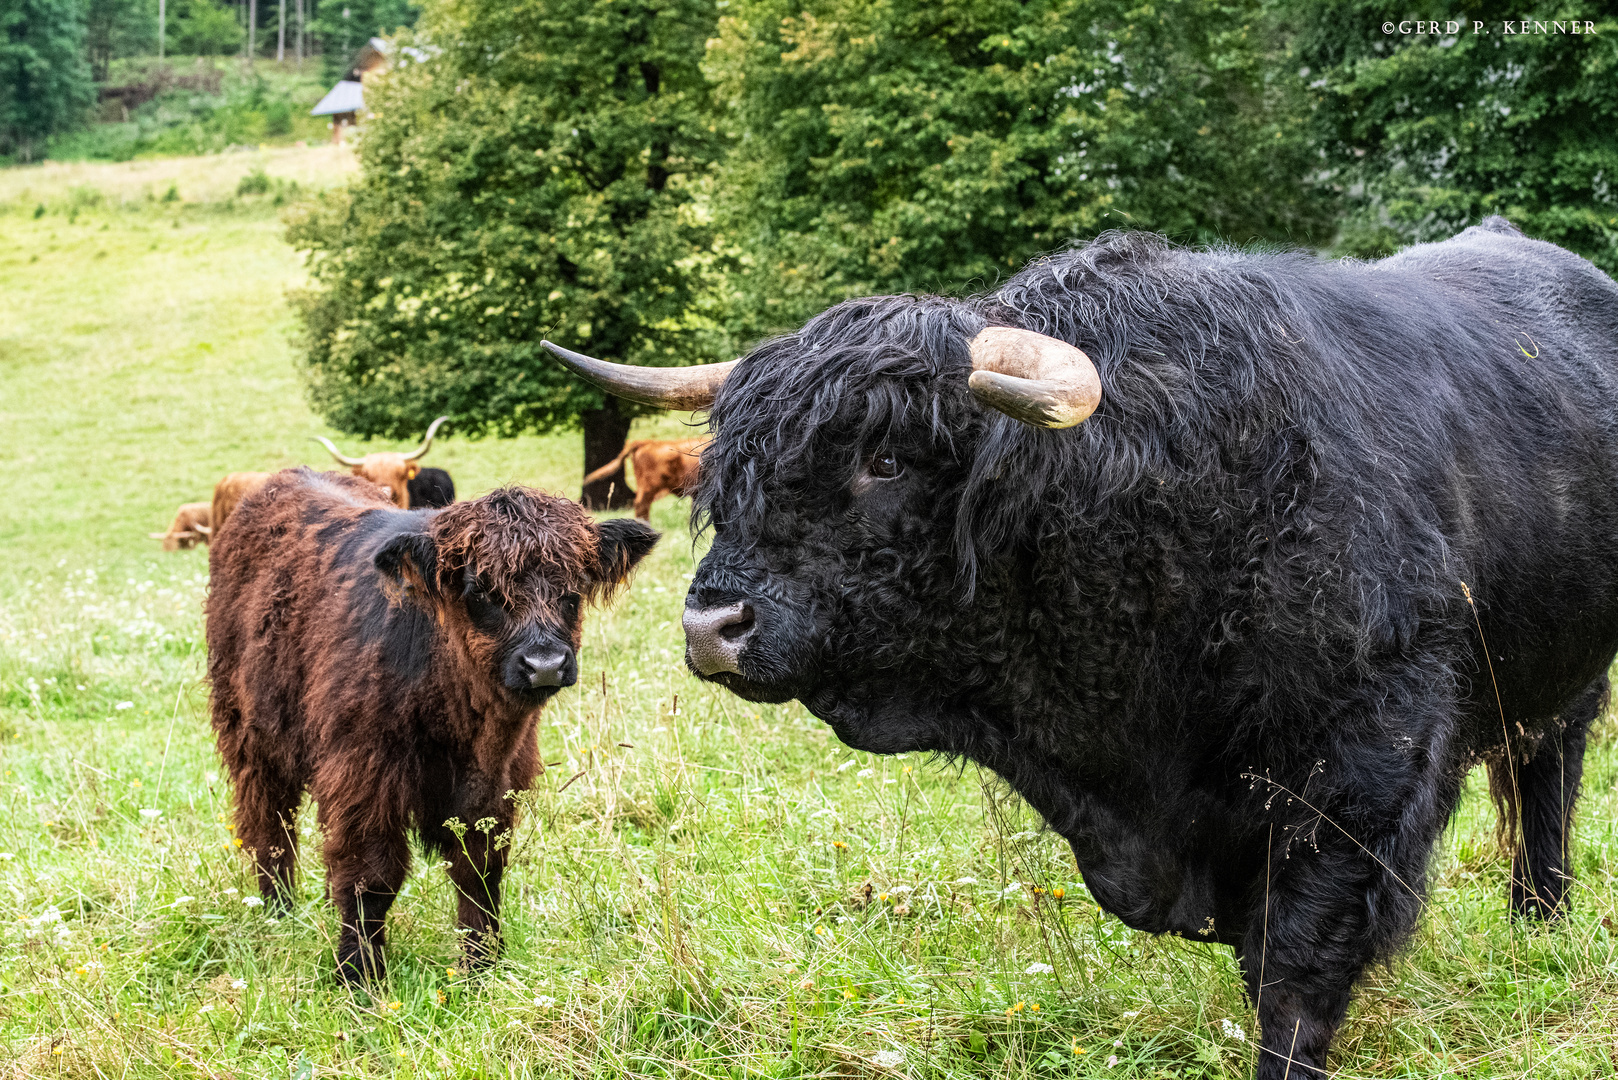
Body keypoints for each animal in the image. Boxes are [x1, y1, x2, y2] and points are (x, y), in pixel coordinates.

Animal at [207, 469, 656, 984]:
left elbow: (479, 875)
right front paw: (358, 973)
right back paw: (279, 910)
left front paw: (482, 966)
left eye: (573, 588)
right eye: (479, 590)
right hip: (250, 737)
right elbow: (371, 877)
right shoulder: (363, 778)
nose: (544, 665)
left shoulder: (495, 791)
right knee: (270, 824)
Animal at [543, 215, 1618, 1075]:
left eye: (885, 460)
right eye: (737, 467)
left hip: (1568, 676)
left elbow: (1298, 966)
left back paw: (1540, 921)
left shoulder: (1364, 761)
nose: (710, 625)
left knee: (1546, 783)